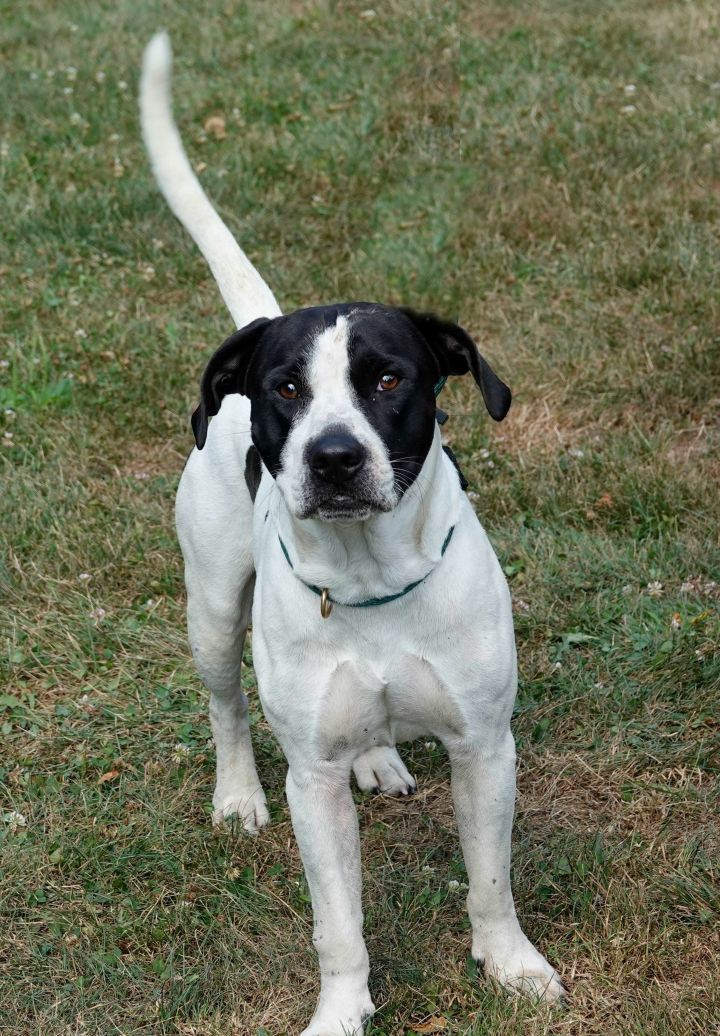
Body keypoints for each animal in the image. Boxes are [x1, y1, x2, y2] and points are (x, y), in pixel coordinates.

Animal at [140, 32, 567, 1036]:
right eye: (286, 387)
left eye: (387, 378)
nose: (333, 458)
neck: (373, 584)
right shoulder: (313, 783)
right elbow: (338, 923)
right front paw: (339, 1013)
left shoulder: (485, 749)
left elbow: (491, 883)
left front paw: (512, 966)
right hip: (211, 610)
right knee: (225, 706)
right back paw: (235, 796)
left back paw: (379, 757)